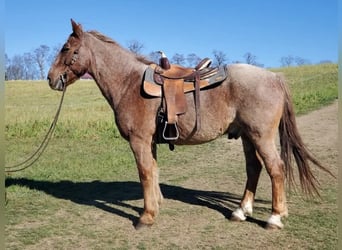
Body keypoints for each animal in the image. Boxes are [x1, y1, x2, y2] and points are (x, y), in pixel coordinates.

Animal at [46, 20, 332, 230]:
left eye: (66, 48)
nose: (50, 78)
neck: (128, 82)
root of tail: (274, 77)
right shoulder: (150, 142)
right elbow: (154, 171)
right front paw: (156, 205)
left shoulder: (139, 141)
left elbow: (145, 173)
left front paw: (146, 217)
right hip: (248, 137)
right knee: (254, 169)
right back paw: (241, 211)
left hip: (261, 136)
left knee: (276, 169)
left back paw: (274, 217)